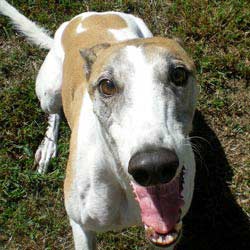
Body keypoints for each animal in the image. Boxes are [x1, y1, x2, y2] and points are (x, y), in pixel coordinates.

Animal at [0, 0, 198, 249]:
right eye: (107, 85)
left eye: (179, 74)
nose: (154, 166)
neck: (123, 185)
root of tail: (91, 15)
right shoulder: (80, 226)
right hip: (49, 90)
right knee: (54, 112)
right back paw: (47, 147)